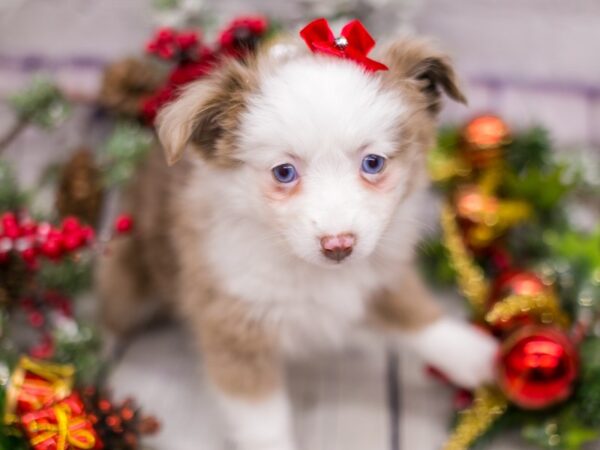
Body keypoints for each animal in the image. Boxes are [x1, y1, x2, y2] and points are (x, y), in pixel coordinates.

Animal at [98, 33, 500, 448]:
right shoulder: (234, 326)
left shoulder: (378, 268)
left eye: (373, 163)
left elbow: (409, 307)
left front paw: (472, 353)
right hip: (128, 283)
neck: (305, 267)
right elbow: (262, 420)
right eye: (284, 172)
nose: (339, 245)